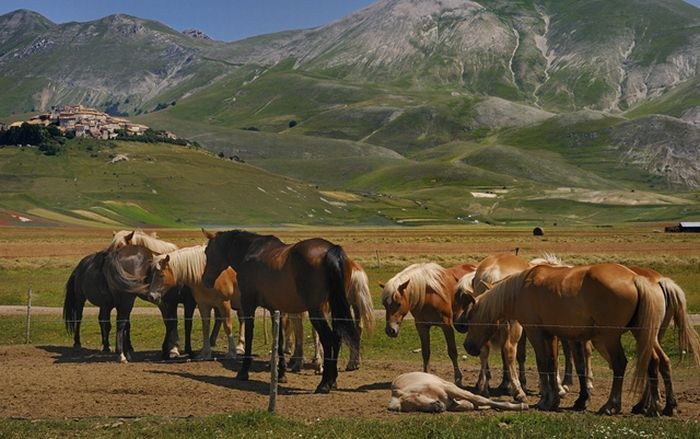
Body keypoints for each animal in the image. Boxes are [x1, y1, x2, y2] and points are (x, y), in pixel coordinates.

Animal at [200, 229, 358, 394]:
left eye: (207, 251)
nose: (205, 280)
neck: (251, 250)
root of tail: (331, 250)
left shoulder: (248, 304)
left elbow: (249, 335)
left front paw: (243, 371)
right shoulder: (275, 309)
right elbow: (279, 339)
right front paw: (281, 374)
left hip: (316, 311)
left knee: (329, 339)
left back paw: (324, 383)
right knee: (338, 337)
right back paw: (333, 381)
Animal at [386, 372, 528, 414]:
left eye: (417, 395)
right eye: (414, 409)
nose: (437, 407)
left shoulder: (450, 389)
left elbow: (479, 399)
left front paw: (522, 405)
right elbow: (471, 404)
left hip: (450, 384)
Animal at [456, 262, 676, 418]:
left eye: (471, 317)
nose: (468, 346)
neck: (522, 288)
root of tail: (636, 278)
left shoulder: (536, 333)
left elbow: (543, 364)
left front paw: (546, 400)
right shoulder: (552, 334)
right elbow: (553, 365)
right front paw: (555, 399)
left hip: (610, 337)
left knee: (620, 364)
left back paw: (611, 406)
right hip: (643, 335)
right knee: (656, 362)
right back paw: (662, 406)